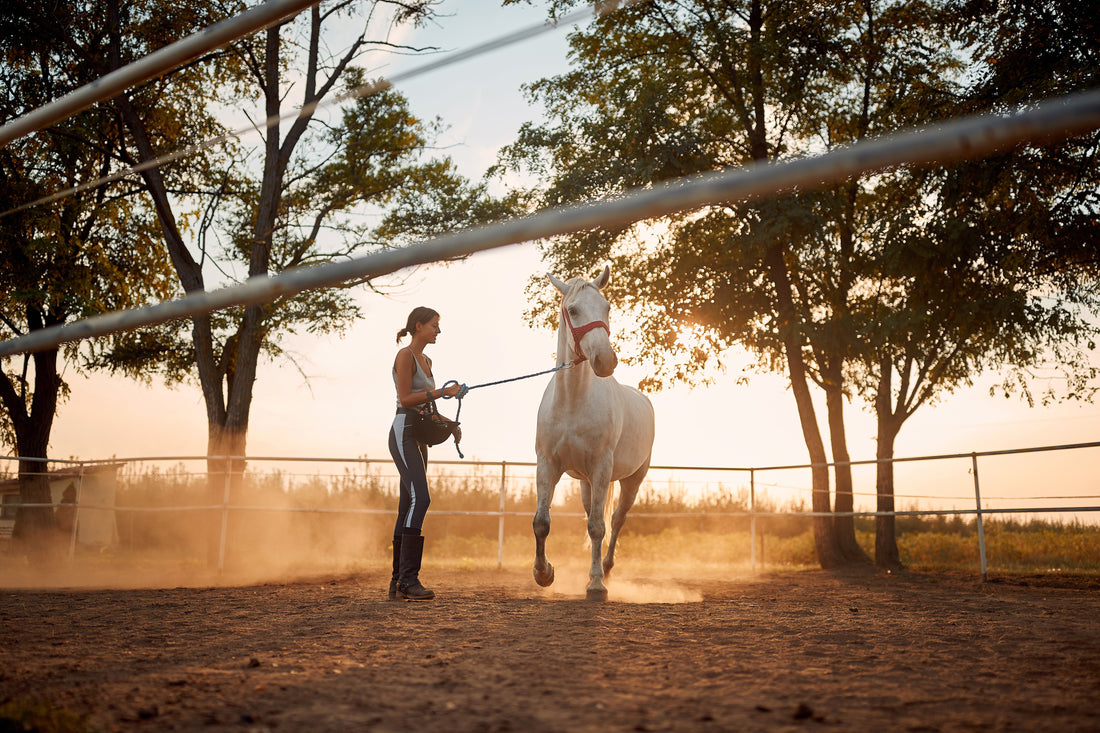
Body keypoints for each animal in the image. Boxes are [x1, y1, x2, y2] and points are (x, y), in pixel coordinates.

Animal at [532, 265, 655, 600]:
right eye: (573, 310)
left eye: (607, 307)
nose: (606, 360)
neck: (573, 402)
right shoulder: (547, 465)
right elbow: (542, 522)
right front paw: (543, 573)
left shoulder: (602, 467)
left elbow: (599, 527)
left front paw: (597, 585)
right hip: (586, 482)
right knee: (592, 515)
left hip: (631, 479)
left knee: (616, 519)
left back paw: (606, 569)